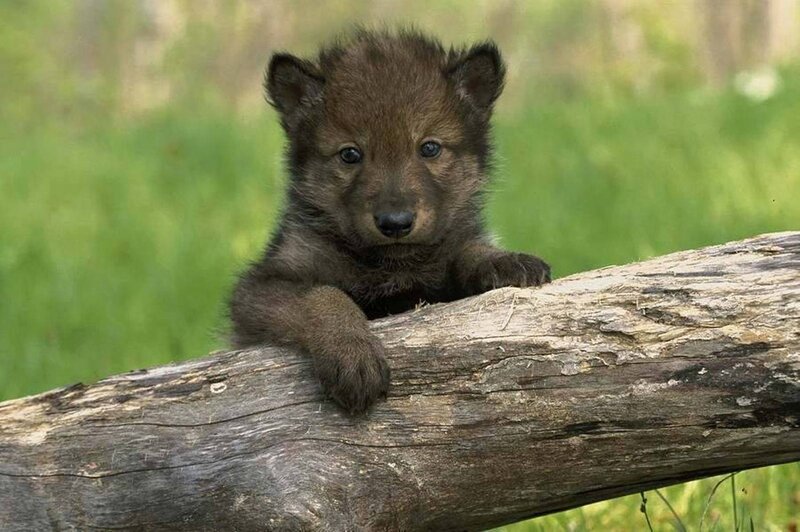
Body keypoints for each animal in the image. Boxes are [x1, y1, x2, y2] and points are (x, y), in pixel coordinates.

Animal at [230, 29, 550, 413]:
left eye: (429, 148)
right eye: (350, 154)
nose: (395, 223)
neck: (392, 267)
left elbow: (467, 249)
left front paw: (502, 260)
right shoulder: (258, 288)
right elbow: (322, 294)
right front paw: (352, 353)